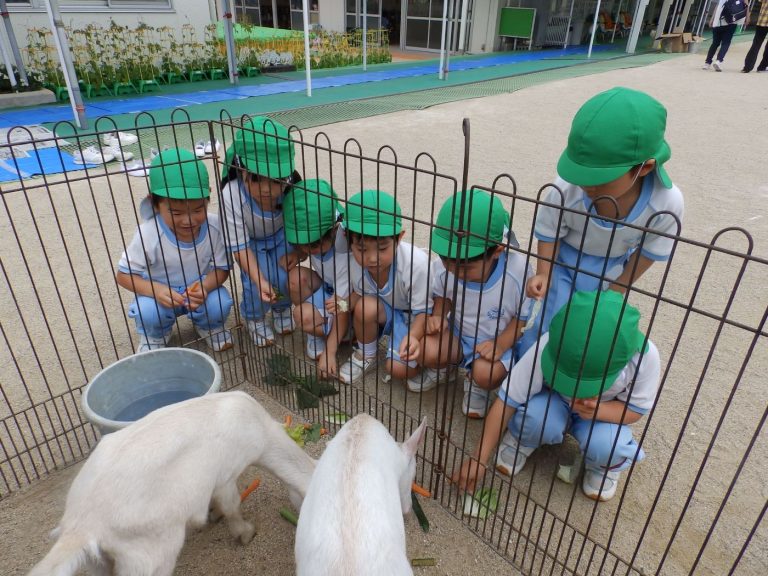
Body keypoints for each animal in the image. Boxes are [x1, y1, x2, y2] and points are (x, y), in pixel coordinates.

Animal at [27, 390, 316, 572]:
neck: (263, 432)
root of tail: (82, 526)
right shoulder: (226, 475)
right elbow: (232, 506)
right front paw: (245, 533)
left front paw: (213, 514)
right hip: (149, 554)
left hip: (99, 561)